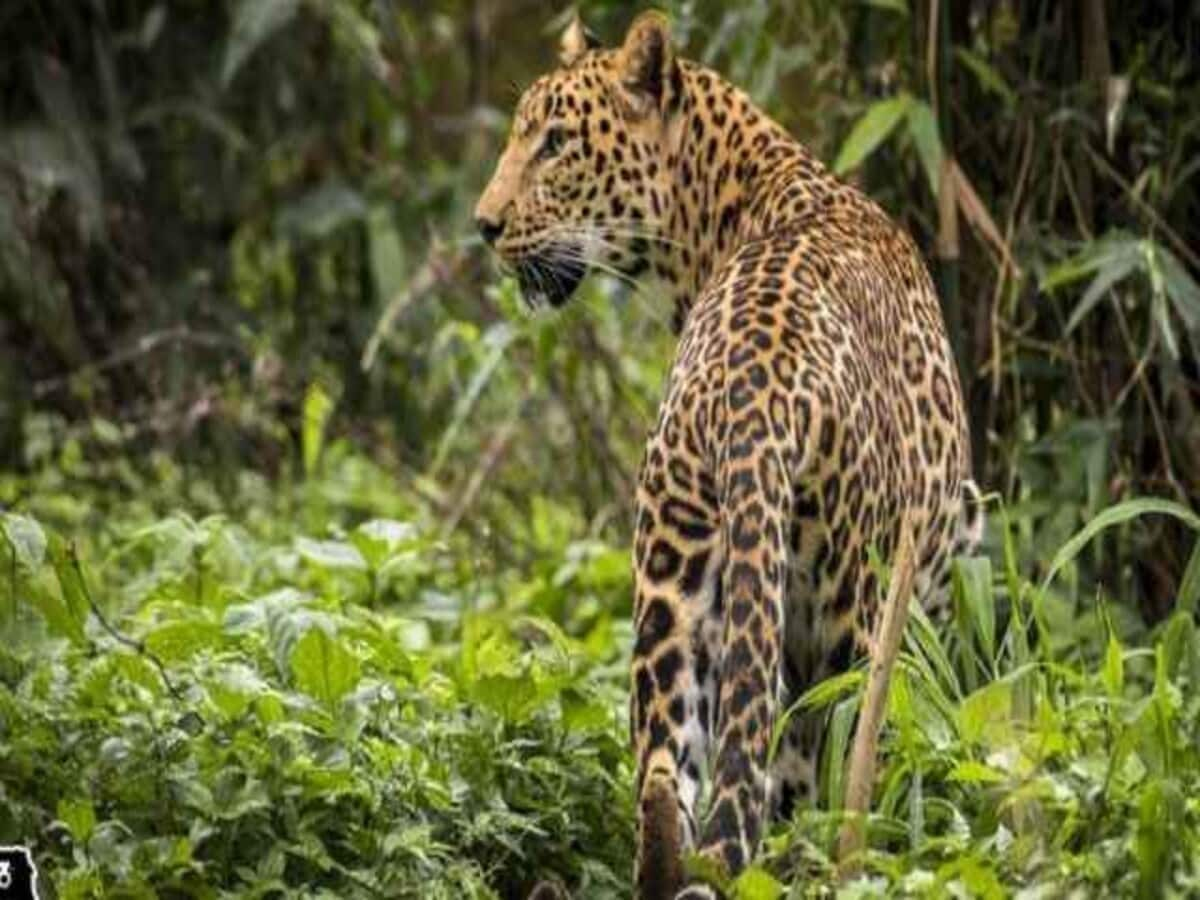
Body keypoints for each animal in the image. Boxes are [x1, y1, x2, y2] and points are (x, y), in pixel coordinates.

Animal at [472, 10, 979, 897]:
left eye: (556, 143)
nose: (484, 225)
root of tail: (753, 399)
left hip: (670, 589)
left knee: (664, 780)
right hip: (836, 619)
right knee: (813, 781)